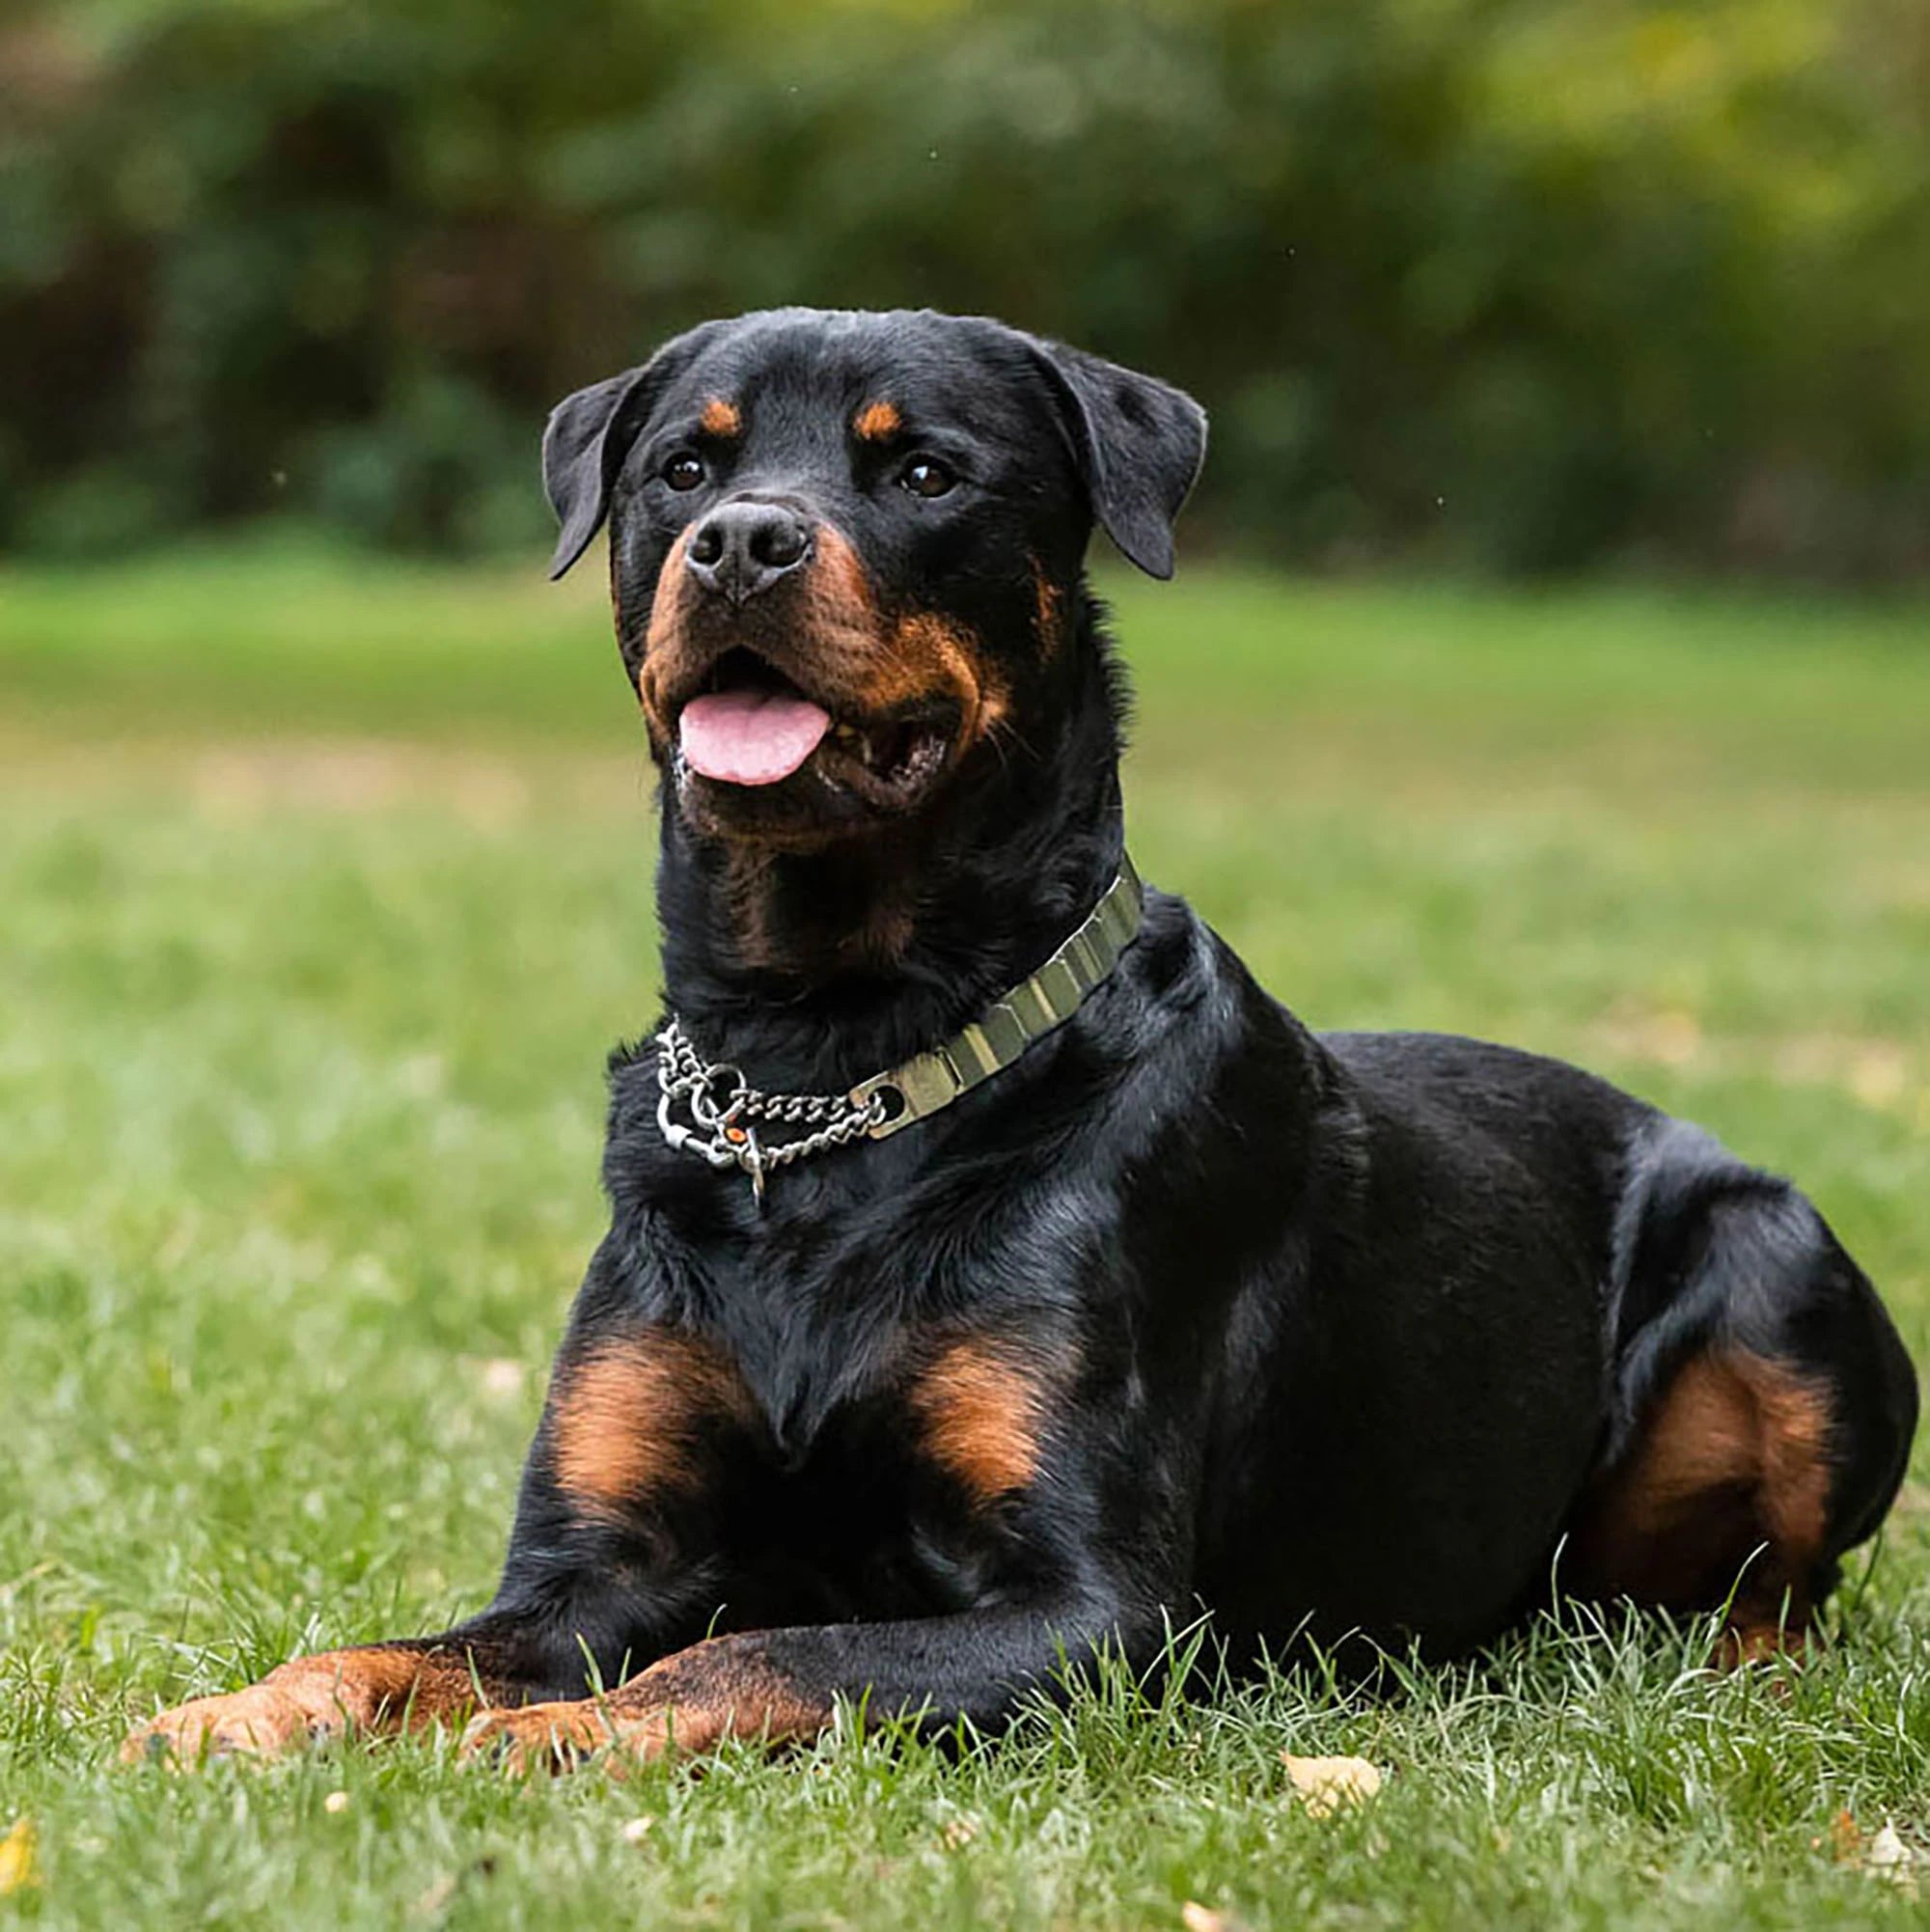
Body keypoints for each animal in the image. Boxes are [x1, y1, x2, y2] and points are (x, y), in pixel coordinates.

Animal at [124, 309, 1916, 1769]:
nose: (741, 542)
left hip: (1780, 1271)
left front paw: (548, 1736)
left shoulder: (1095, 1612)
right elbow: (403, 1647)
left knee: (1782, 1593)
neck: (824, 1061)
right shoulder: (597, 1562)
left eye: (923, 468)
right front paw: (240, 1710)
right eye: (680, 466)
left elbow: (770, 1650)